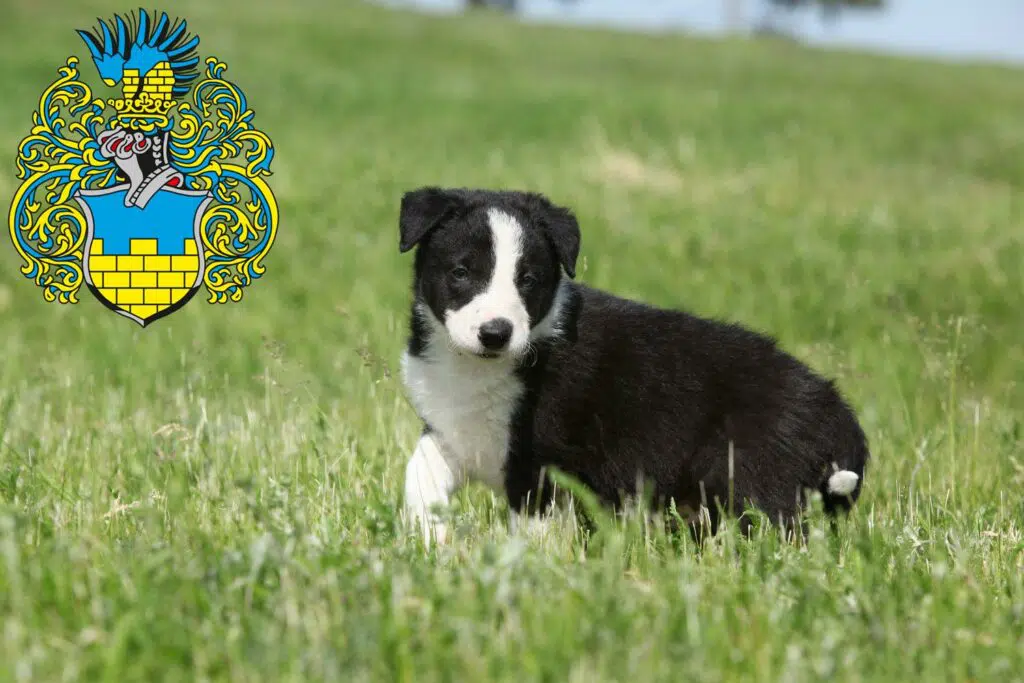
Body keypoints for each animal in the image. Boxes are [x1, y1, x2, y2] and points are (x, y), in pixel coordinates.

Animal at [395, 185, 868, 544]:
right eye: (461, 272)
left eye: (527, 280)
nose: (496, 332)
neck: (477, 367)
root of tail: (837, 411)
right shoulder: (453, 430)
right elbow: (420, 473)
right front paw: (432, 541)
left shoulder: (538, 461)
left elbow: (532, 529)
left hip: (751, 472)